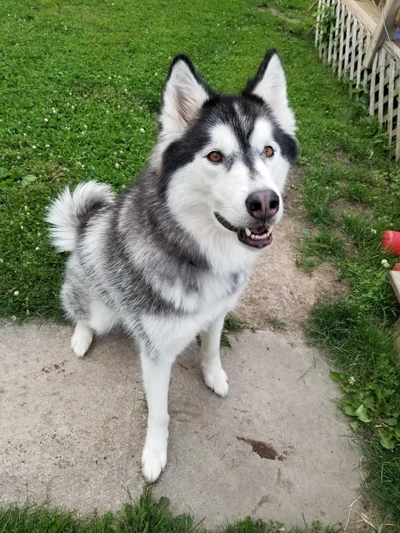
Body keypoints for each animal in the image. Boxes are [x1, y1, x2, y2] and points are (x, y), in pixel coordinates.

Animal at [46, 50, 296, 482]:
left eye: (268, 151)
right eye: (215, 156)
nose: (265, 202)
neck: (197, 252)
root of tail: (82, 232)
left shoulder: (217, 313)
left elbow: (211, 349)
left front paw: (214, 377)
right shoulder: (156, 353)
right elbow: (159, 413)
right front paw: (154, 455)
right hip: (99, 304)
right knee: (80, 311)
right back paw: (81, 336)